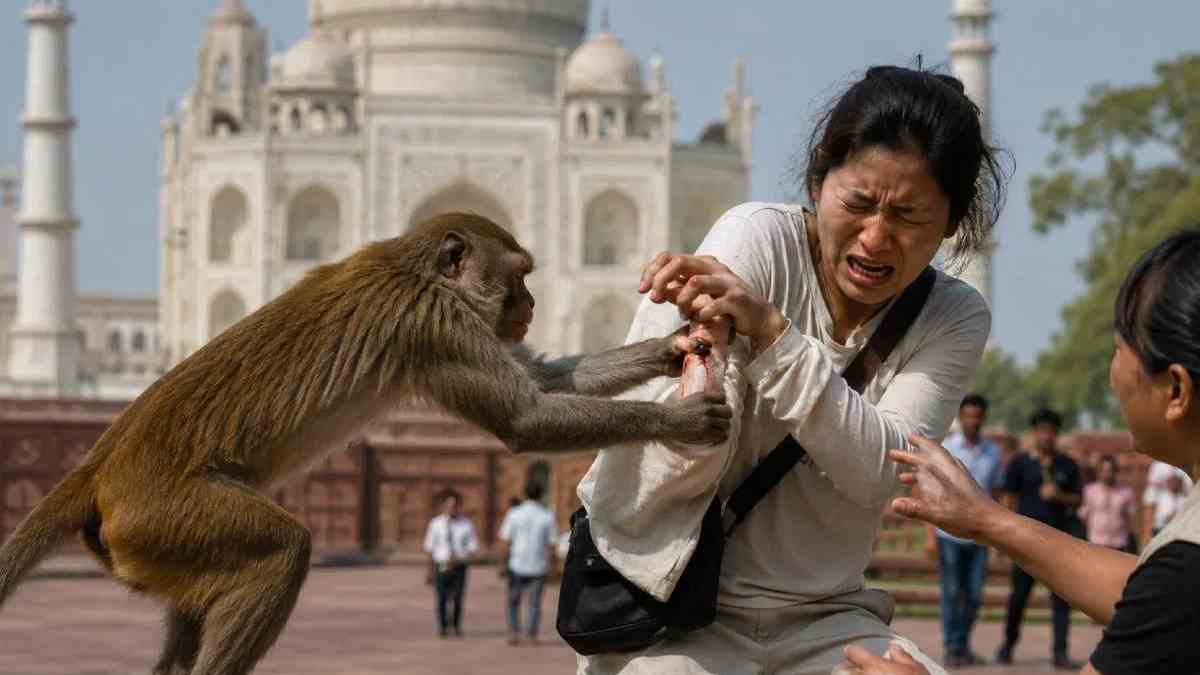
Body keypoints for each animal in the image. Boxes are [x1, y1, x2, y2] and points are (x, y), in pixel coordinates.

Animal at [0, 212, 731, 675]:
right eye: (517, 274)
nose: (527, 303)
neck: (417, 268)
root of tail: (101, 464)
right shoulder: (438, 325)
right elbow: (526, 417)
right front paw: (684, 421)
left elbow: (550, 378)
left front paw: (674, 347)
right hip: (162, 510)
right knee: (283, 548)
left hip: (150, 539)